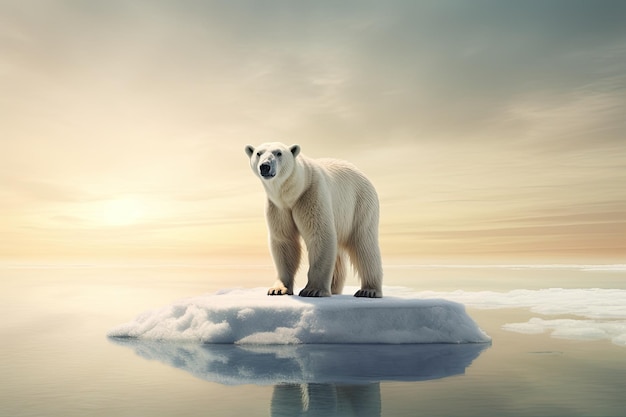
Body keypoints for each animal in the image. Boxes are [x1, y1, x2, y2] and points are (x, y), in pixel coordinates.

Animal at [244, 142, 380, 296]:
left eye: (279, 153)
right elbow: (284, 240)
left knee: (364, 244)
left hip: (360, 205)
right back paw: (334, 288)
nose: (265, 166)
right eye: (258, 153)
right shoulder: (278, 207)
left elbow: (319, 234)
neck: (293, 193)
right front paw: (278, 289)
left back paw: (368, 290)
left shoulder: (311, 194)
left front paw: (313, 290)